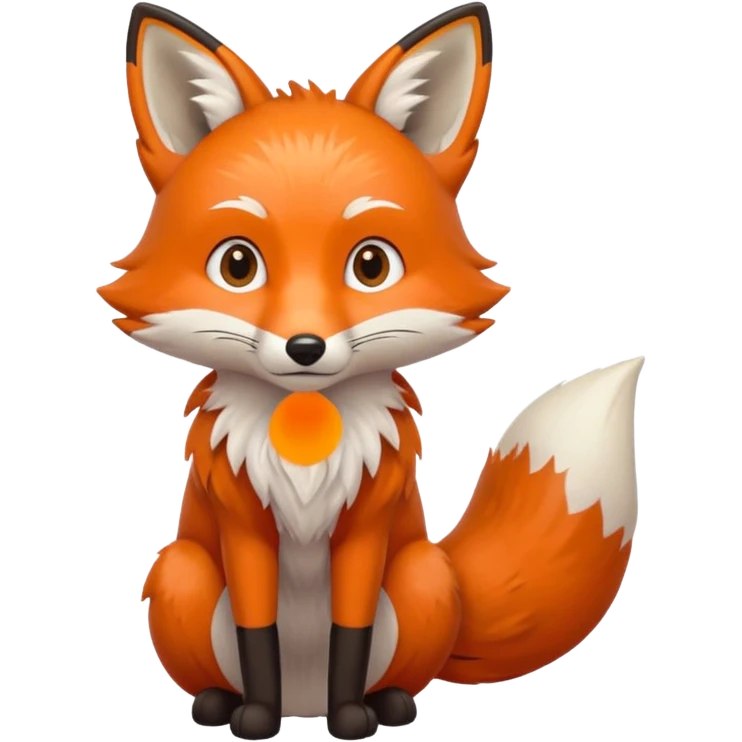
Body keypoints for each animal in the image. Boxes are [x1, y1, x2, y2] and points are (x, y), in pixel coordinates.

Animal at [103, 2, 643, 740]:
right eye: (238, 265)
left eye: (371, 265)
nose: (305, 347)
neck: (305, 442)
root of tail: (304, 702)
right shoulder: (244, 525)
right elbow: (256, 631)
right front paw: (256, 718)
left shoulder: (367, 526)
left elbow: (349, 634)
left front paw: (352, 717)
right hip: (181, 571)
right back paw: (220, 703)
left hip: (421, 577)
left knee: (398, 664)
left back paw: (385, 704)